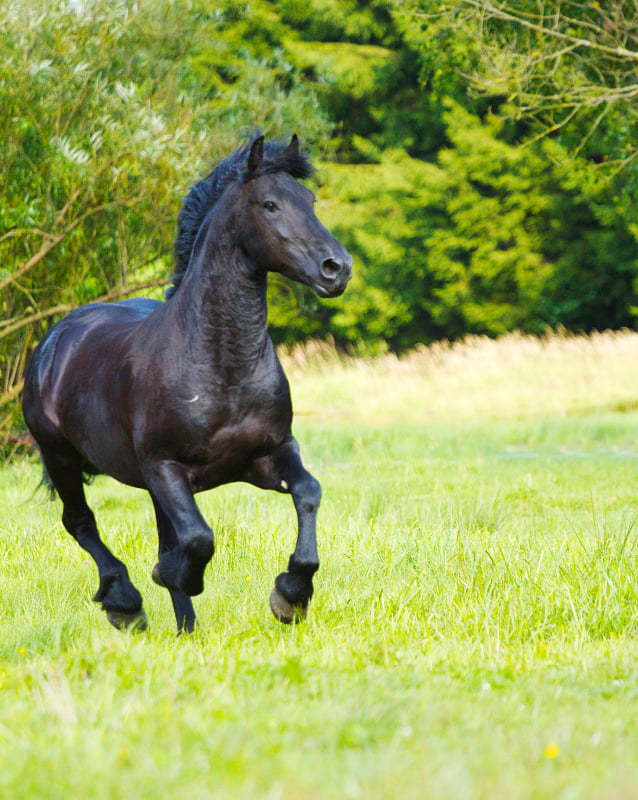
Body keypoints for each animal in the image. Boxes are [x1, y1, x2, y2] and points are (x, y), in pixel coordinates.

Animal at [23, 134, 356, 636]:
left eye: (311, 201)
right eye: (270, 204)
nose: (337, 267)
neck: (222, 368)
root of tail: (55, 338)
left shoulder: (266, 455)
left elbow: (308, 492)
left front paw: (291, 596)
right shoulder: (166, 468)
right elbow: (199, 539)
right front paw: (169, 575)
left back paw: (185, 628)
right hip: (61, 456)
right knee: (80, 522)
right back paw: (125, 603)